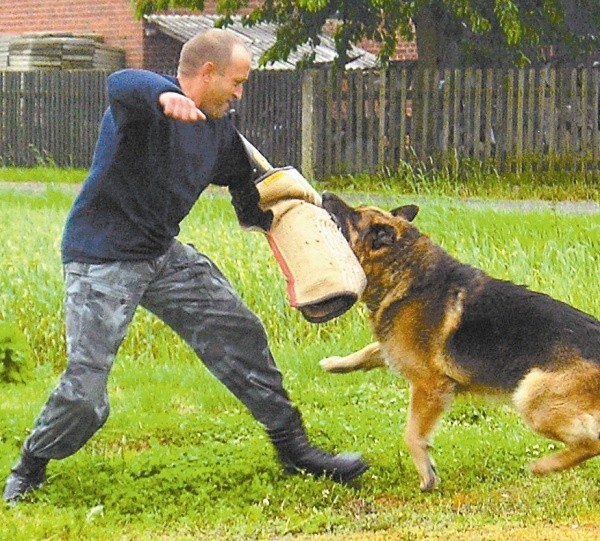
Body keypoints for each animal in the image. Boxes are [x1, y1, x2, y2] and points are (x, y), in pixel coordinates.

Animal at [322, 192, 600, 492]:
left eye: (354, 215)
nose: (325, 194)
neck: (405, 271)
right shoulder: (398, 350)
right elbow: (370, 350)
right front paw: (335, 363)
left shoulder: (429, 387)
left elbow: (412, 435)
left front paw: (427, 475)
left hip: (531, 398)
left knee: (591, 442)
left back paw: (543, 466)